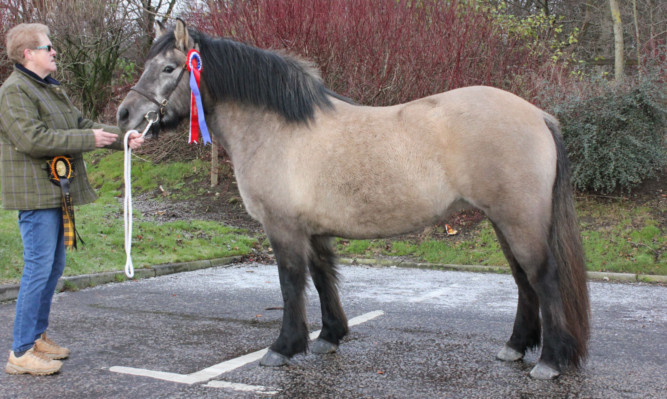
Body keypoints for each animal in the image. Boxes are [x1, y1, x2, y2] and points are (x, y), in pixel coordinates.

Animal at [116, 19, 588, 382]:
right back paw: (515, 347)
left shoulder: (282, 228)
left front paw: (283, 346)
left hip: (518, 219)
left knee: (543, 278)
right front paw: (328, 337)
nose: (125, 115)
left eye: (169, 68)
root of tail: (538, 115)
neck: (277, 129)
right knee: (523, 281)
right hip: (503, 220)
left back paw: (549, 362)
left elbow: (290, 283)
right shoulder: (313, 230)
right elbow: (324, 276)